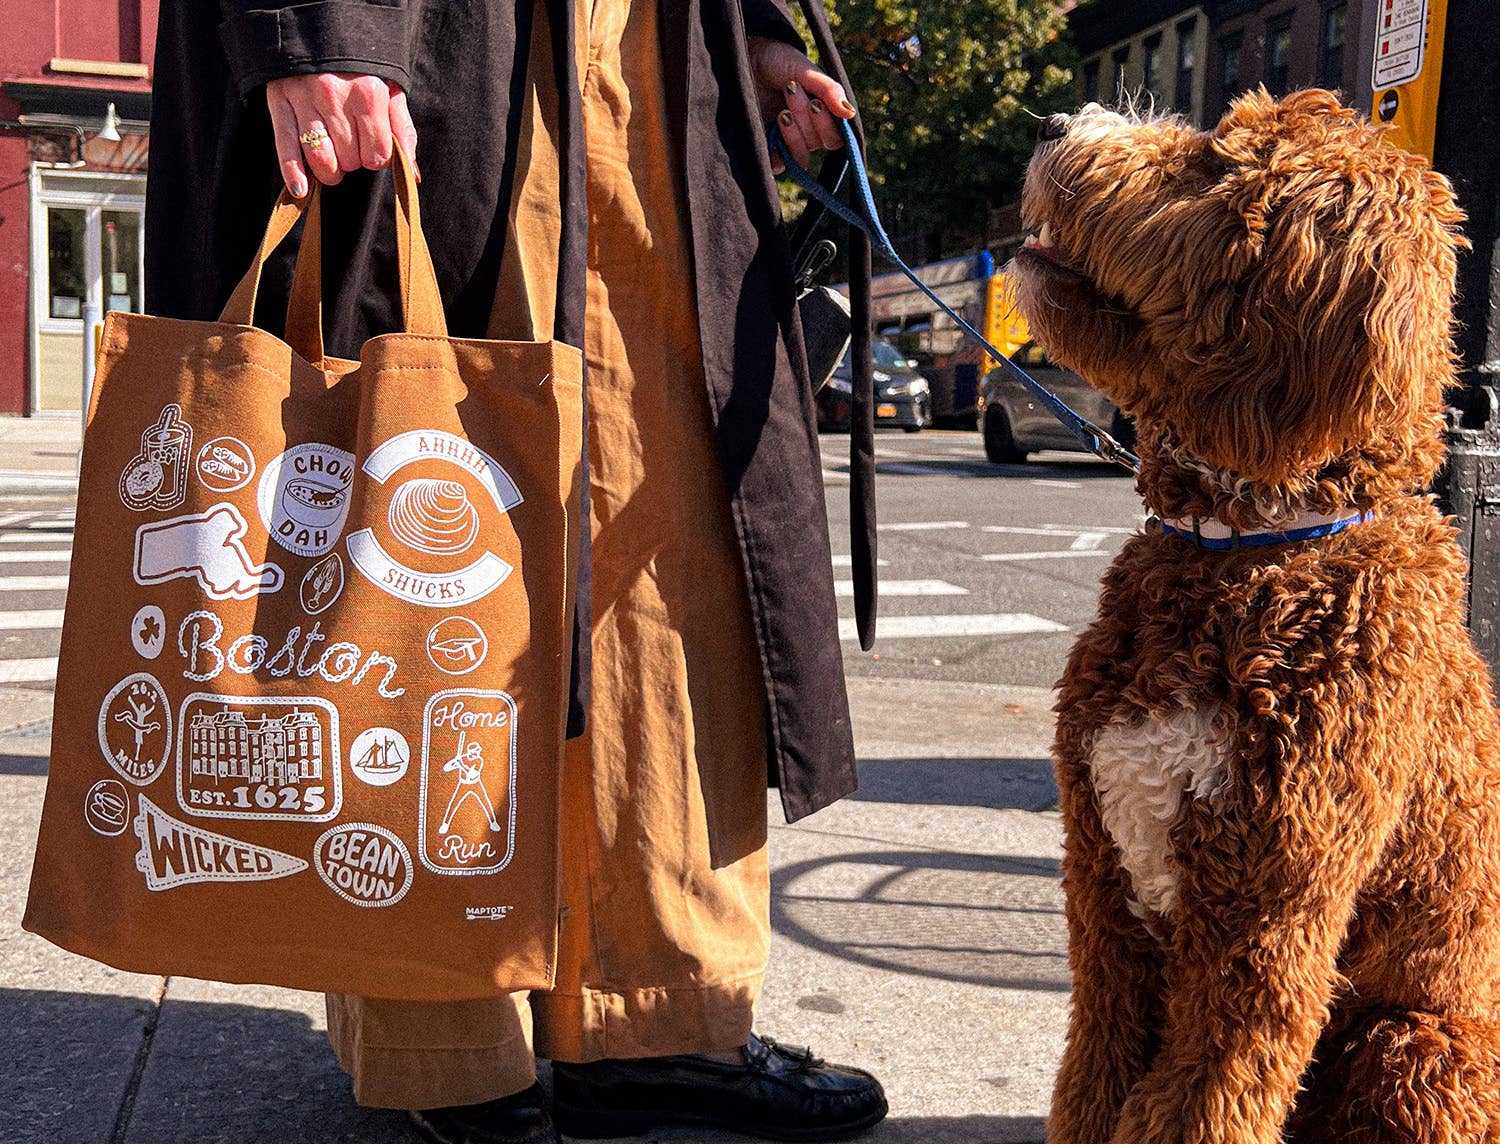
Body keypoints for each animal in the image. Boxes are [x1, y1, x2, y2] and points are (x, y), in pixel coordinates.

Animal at [1008, 85, 1500, 1139]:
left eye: (1211, 164)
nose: (1052, 124)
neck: (1246, 553)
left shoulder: (1262, 924)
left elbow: (1201, 1101)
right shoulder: (1105, 897)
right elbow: (1095, 1080)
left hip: (1413, 1048)